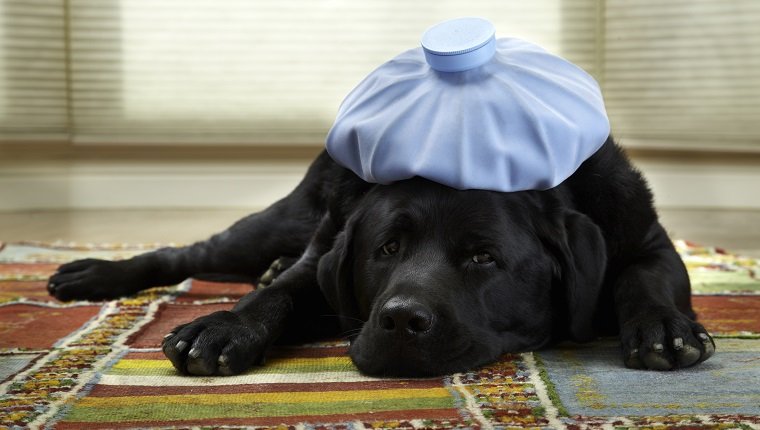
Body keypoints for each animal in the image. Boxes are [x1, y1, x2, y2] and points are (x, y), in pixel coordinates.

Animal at [46, 138, 712, 376]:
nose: (399, 320)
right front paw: (224, 326)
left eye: (484, 258)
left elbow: (643, 282)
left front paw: (664, 330)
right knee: (186, 252)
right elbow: (278, 294)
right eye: (386, 249)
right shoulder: (324, 253)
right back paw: (91, 274)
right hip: (278, 223)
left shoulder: (646, 240)